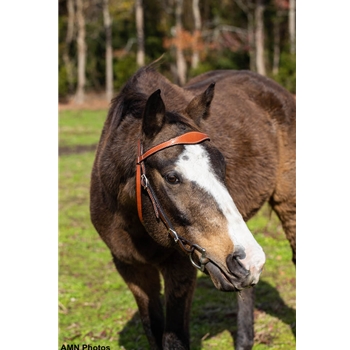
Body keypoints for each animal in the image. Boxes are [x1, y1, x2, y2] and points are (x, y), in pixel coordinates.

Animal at [90, 64, 296, 348]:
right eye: (172, 177)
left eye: (222, 165)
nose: (249, 261)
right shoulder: (132, 270)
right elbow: (153, 332)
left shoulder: (181, 270)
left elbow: (173, 338)